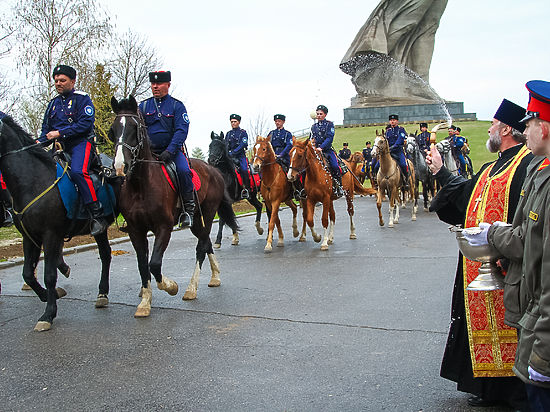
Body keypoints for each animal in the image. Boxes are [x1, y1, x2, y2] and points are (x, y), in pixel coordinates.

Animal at [0, 114, 119, 330]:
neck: (33, 180)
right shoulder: (29, 237)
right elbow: (28, 274)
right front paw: (49, 295)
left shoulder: (51, 235)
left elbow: (49, 275)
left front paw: (48, 314)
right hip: (101, 229)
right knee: (106, 255)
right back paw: (102, 293)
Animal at [112, 96, 239, 316]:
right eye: (113, 129)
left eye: (134, 128)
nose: (120, 167)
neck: (140, 186)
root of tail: (214, 170)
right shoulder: (135, 230)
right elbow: (142, 265)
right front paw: (145, 301)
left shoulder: (163, 228)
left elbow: (154, 264)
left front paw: (171, 286)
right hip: (197, 221)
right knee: (206, 243)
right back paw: (215, 276)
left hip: (205, 215)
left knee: (201, 247)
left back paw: (191, 288)